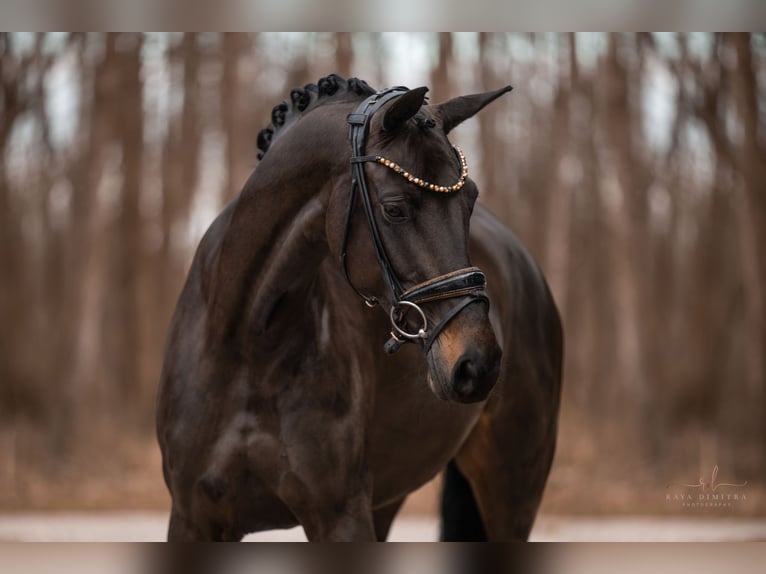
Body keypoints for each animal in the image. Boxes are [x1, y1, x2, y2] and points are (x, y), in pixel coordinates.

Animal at [158, 74, 564, 544]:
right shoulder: (193, 519)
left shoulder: (340, 515)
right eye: (394, 208)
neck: (249, 345)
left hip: (510, 489)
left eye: (470, 200)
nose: (478, 363)